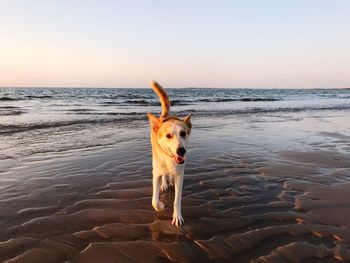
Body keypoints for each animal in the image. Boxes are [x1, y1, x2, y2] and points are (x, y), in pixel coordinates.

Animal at [147, 80, 193, 227]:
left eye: (183, 133)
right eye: (168, 136)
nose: (181, 151)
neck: (170, 159)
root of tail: (164, 118)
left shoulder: (180, 174)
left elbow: (177, 200)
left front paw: (177, 216)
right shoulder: (155, 172)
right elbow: (154, 200)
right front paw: (160, 206)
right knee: (164, 175)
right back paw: (165, 183)